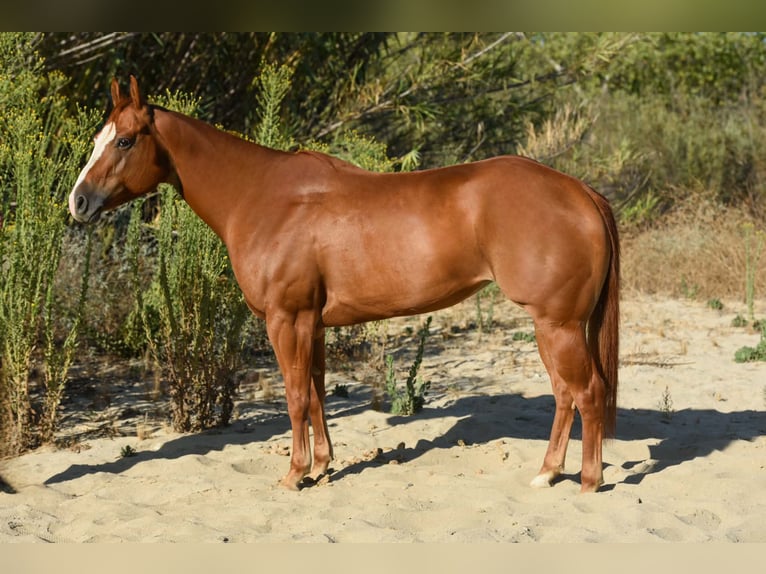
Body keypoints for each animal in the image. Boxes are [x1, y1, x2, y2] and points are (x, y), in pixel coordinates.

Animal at [69, 76, 619, 493]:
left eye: (124, 141)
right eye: (97, 139)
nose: (78, 201)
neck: (260, 196)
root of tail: (579, 191)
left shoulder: (285, 319)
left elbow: (294, 397)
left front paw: (293, 476)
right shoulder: (311, 324)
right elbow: (315, 393)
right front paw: (320, 467)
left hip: (557, 323)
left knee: (587, 392)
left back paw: (588, 481)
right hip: (552, 326)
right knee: (565, 394)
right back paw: (547, 473)